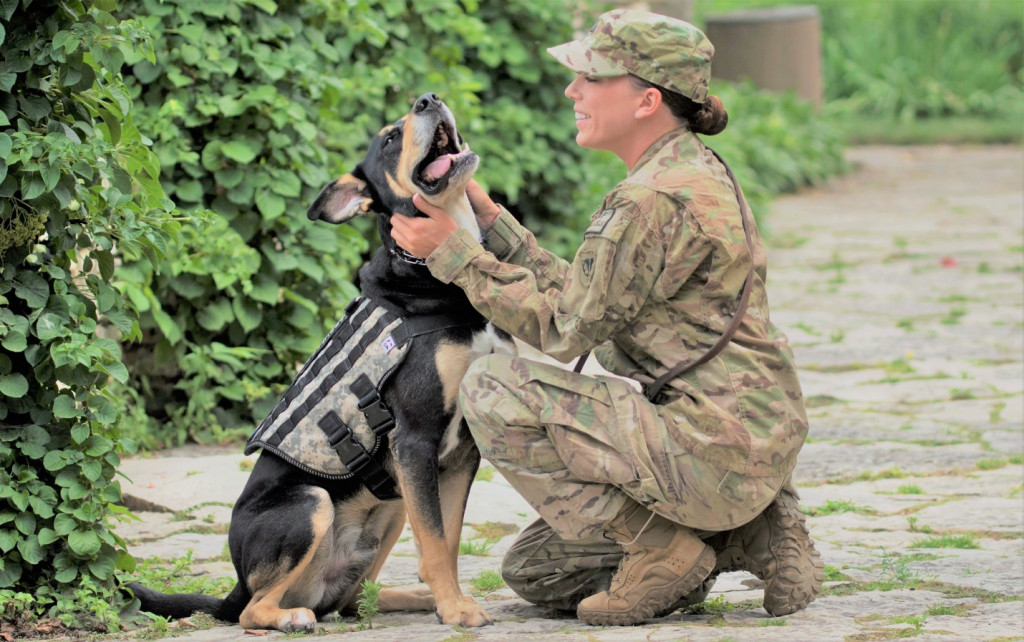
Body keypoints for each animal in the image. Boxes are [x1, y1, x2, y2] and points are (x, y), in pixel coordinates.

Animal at [131, 95, 512, 634]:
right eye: (390, 138)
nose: (429, 99)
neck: (432, 274)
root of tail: (236, 582)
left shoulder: (460, 452)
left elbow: (448, 540)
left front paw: (450, 600)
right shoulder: (416, 438)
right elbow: (437, 543)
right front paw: (457, 610)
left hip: (392, 505)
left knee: (354, 600)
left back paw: (412, 597)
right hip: (314, 504)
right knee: (254, 609)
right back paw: (293, 616)